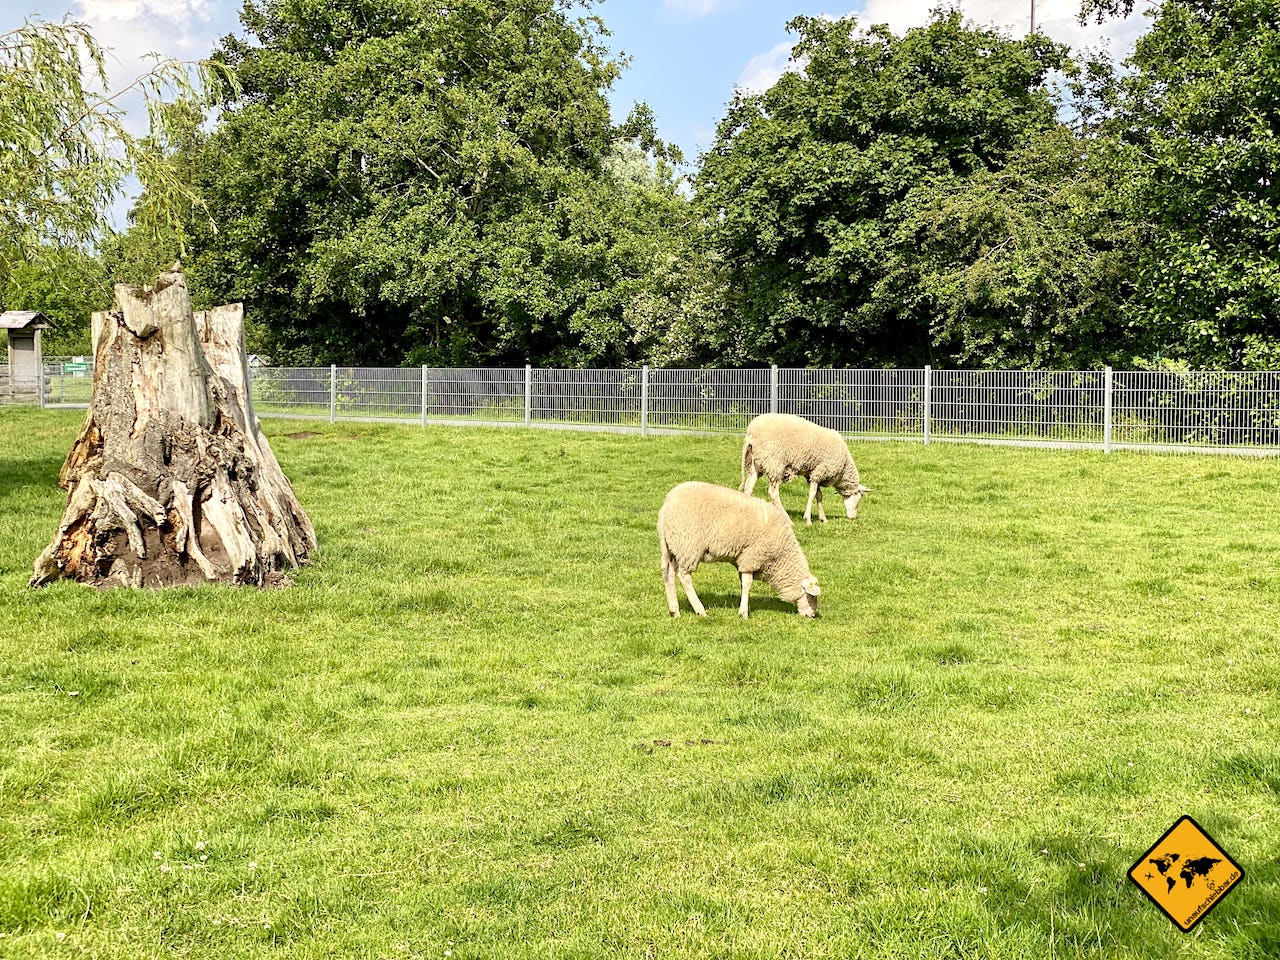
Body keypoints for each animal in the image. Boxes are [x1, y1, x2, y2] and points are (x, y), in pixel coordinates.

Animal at [655, 481, 824, 624]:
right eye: (811, 597)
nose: (812, 616)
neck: (780, 556)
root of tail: (666, 505)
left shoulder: (742, 559)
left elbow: (743, 582)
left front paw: (745, 606)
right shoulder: (752, 556)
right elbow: (748, 583)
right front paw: (743, 613)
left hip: (672, 546)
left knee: (668, 573)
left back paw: (674, 610)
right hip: (687, 546)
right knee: (684, 577)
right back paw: (700, 610)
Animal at [742, 409, 870, 522]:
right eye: (859, 499)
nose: (853, 517)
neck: (844, 467)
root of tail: (751, 433)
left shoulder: (813, 473)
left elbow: (819, 495)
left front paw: (823, 518)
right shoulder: (820, 471)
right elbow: (812, 494)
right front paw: (807, 519)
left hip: (756, 464)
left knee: (748, 489)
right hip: (774, 463)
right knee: (773, 493)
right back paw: (787, 518)